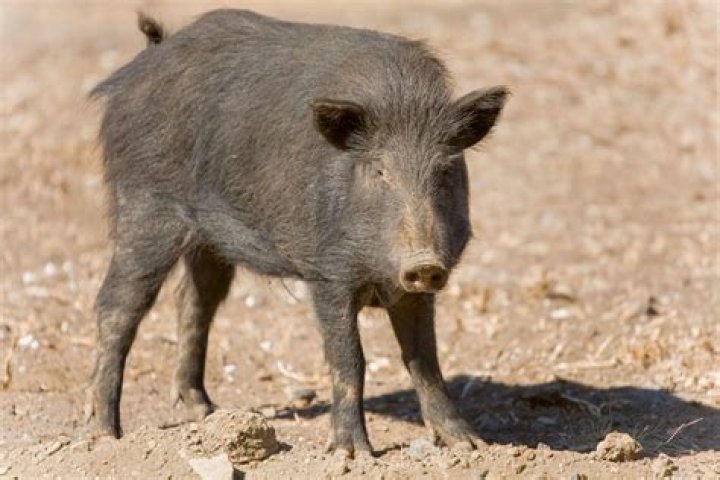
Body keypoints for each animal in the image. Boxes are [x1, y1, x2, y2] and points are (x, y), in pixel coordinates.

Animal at [86, 9, 508, 456]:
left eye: (444, 170)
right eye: (379, 171)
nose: (424, 262)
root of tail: (142, 65)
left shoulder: (414, 290)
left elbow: (425, 359)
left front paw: (471, 444)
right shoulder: (327, 273)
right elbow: (349, 360)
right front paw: (353, 454)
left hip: (209, 241)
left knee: (194, 302)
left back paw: (205, 412)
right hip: (145, 209)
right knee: (117, 306)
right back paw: (106, 434)